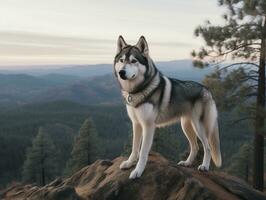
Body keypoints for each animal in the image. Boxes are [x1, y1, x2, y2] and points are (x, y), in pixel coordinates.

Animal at [113, 35, 221, 179]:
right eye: (121, 60)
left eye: (133, 61)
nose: (121, 72)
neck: (137, 90)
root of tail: (206, 89)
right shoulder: (136, 124)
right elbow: (134, 149)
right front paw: (129, 163)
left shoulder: (148, 126)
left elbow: (143, 153)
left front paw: (137, 171)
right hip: (186, 126)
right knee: (195, 147)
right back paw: (187, 163)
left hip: (198, 126)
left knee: (207, 147)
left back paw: (204, 166)